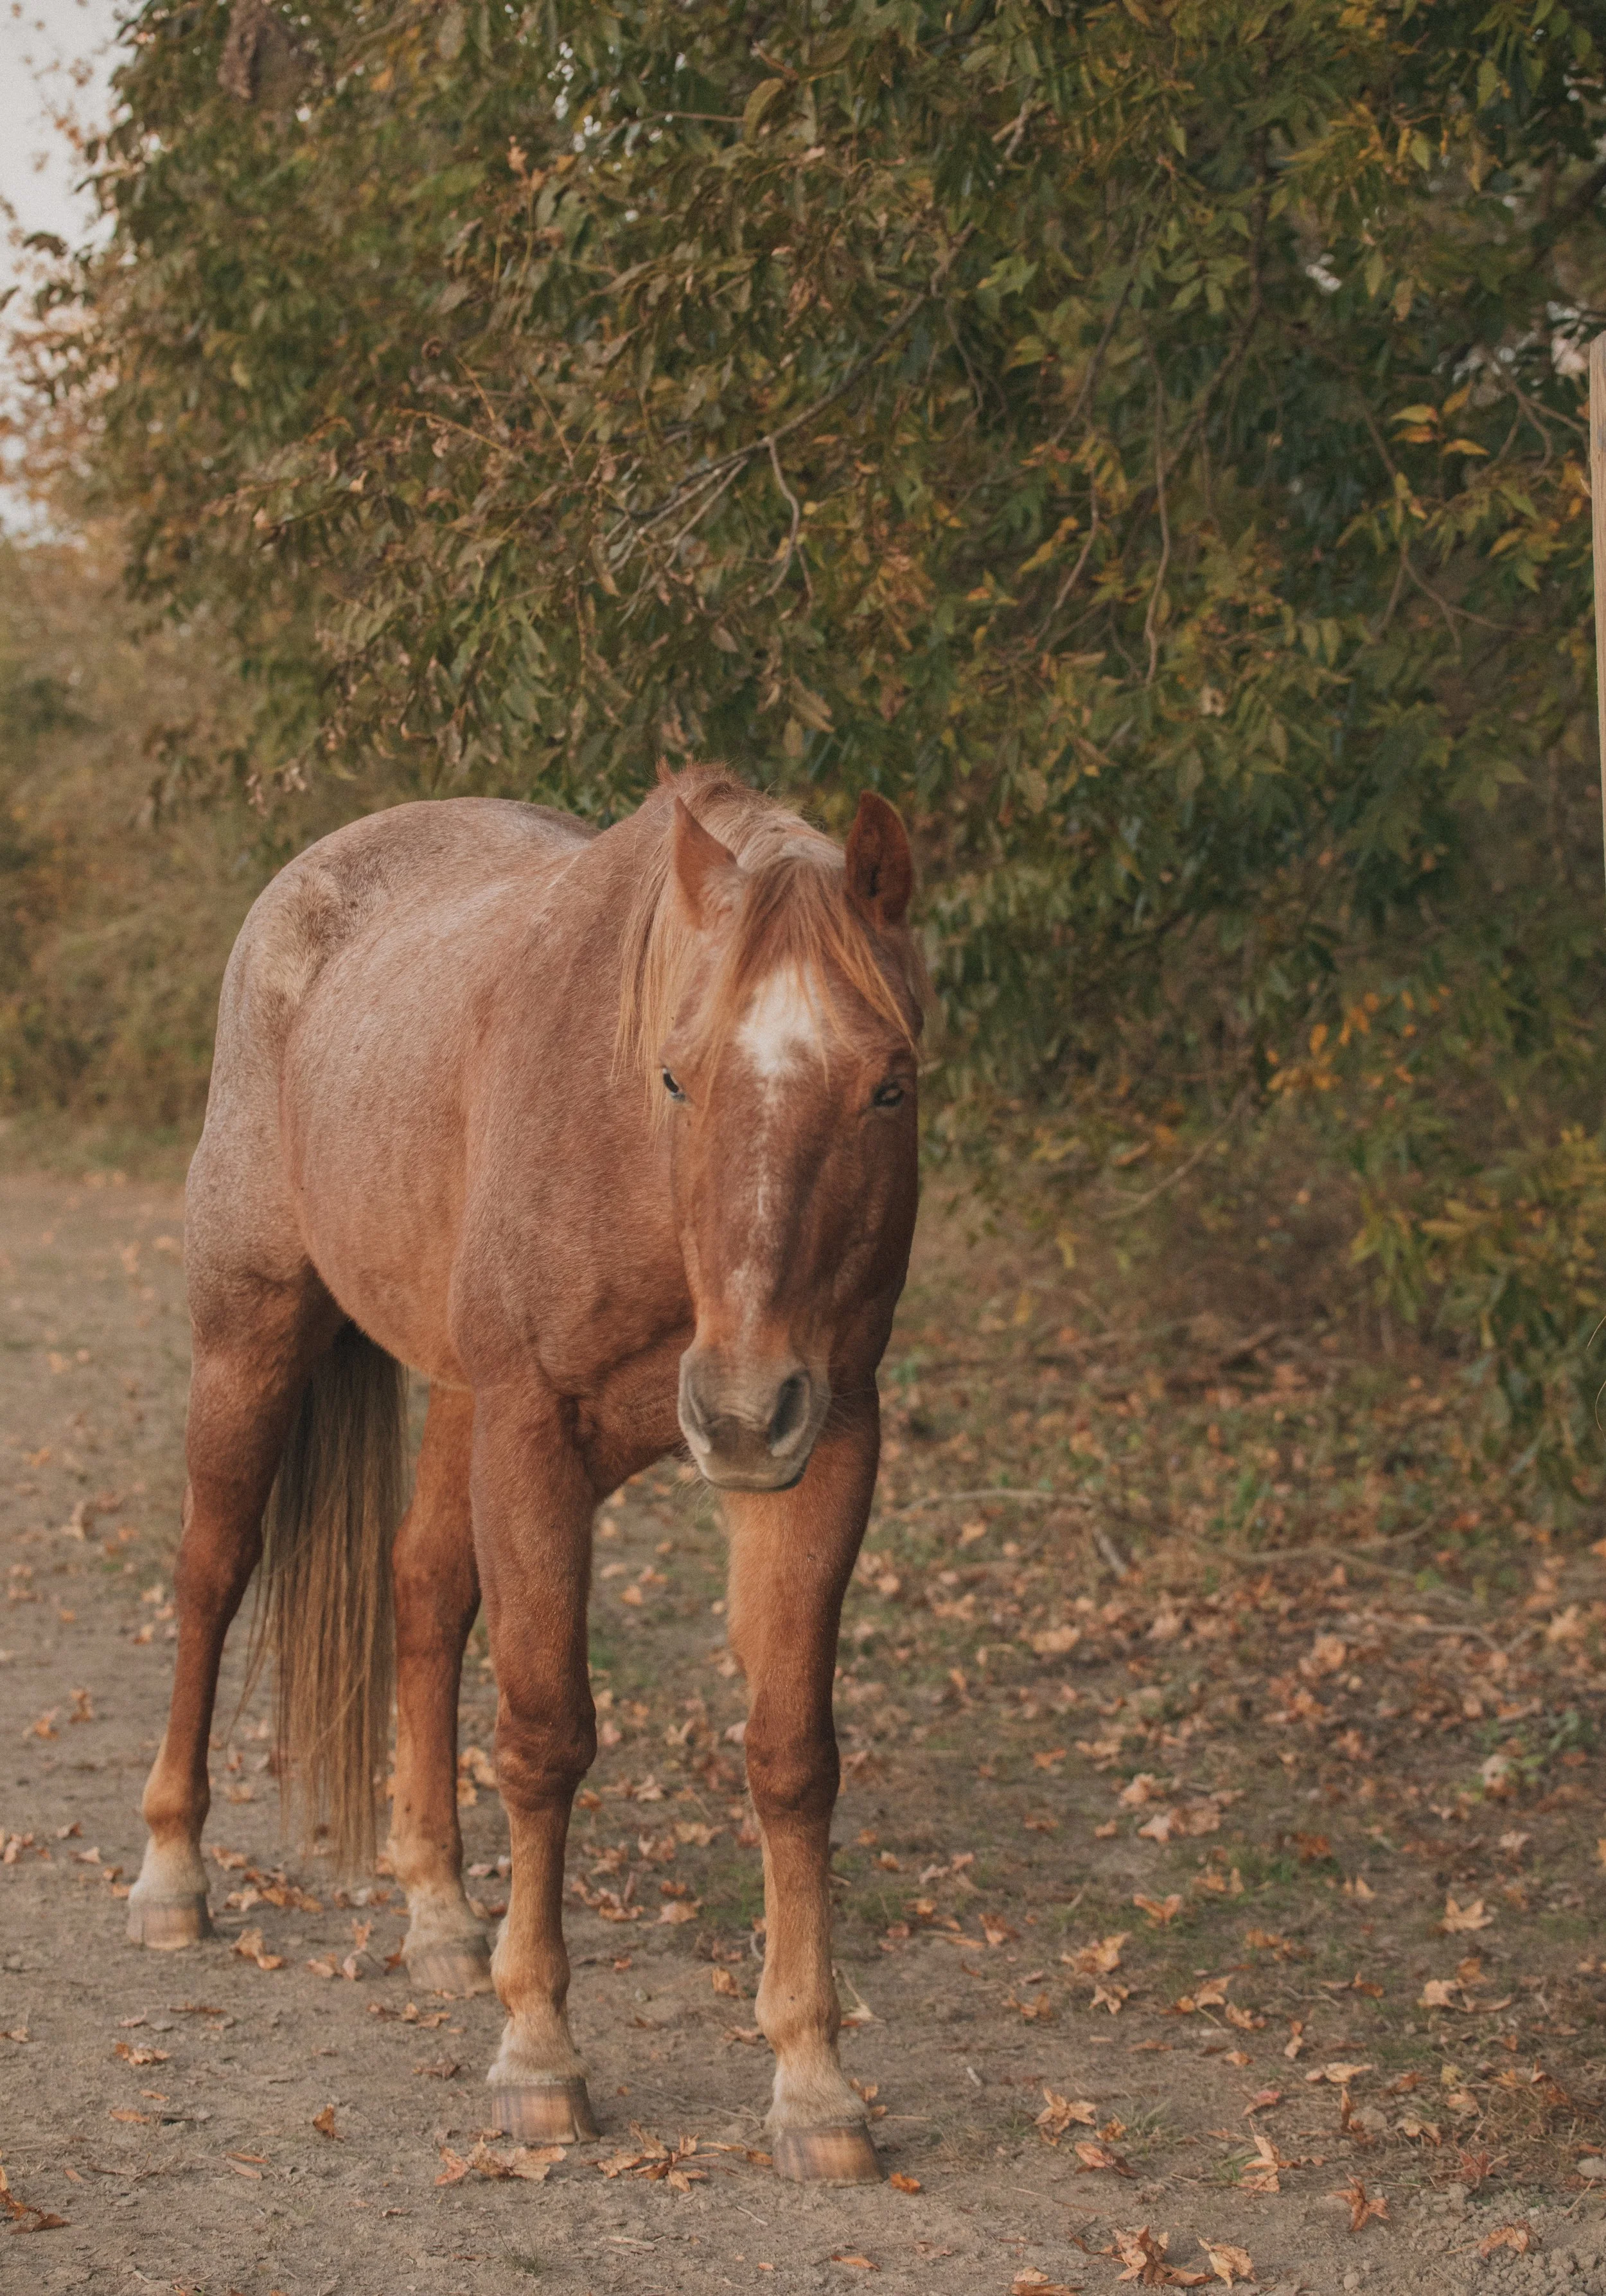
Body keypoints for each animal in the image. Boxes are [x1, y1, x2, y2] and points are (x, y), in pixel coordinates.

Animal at [126, 765, 924, 2185]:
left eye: (888, 1085)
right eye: (678, 1075)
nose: (737, 1408)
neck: (644, 1180)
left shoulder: (826, 1441)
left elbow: (790, 1752)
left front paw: (813, 2082)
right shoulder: (538, 1436)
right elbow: (547, 1735)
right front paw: (541, 2055)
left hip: (459, 1401)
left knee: (424, 1594)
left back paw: (441, 1915)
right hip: (250, 1333)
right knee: (211, 1573)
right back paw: (173, 1873)